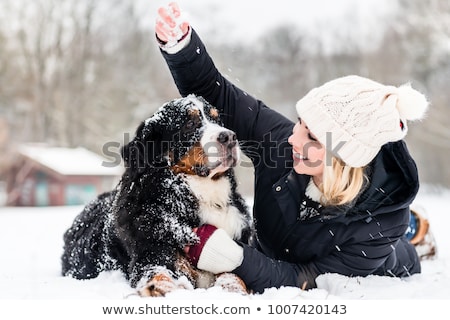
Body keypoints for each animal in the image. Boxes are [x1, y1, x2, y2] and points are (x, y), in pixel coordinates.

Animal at [61, 95, 255, 298]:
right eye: (189, 124)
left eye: (218, 120)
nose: (230, 137)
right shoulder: (153, 252)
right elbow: (158, 272)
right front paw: (161, 289)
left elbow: (233, 275)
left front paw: (232, 290)